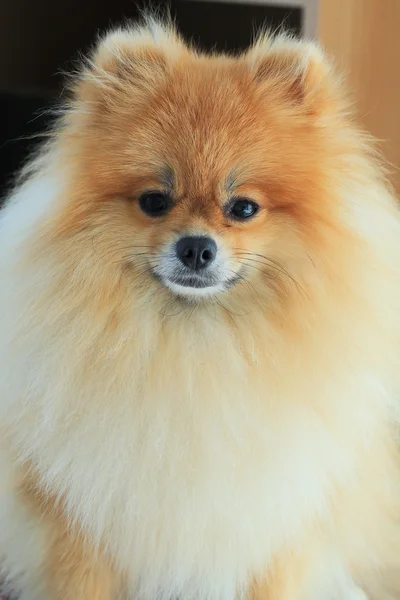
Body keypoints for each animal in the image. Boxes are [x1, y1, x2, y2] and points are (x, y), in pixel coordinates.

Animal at [0, 16, 400, 600]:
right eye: (154, 201)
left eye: (244, 208)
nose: (195, 247)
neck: (195, 350)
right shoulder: (78, 522)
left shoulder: (275, 522)